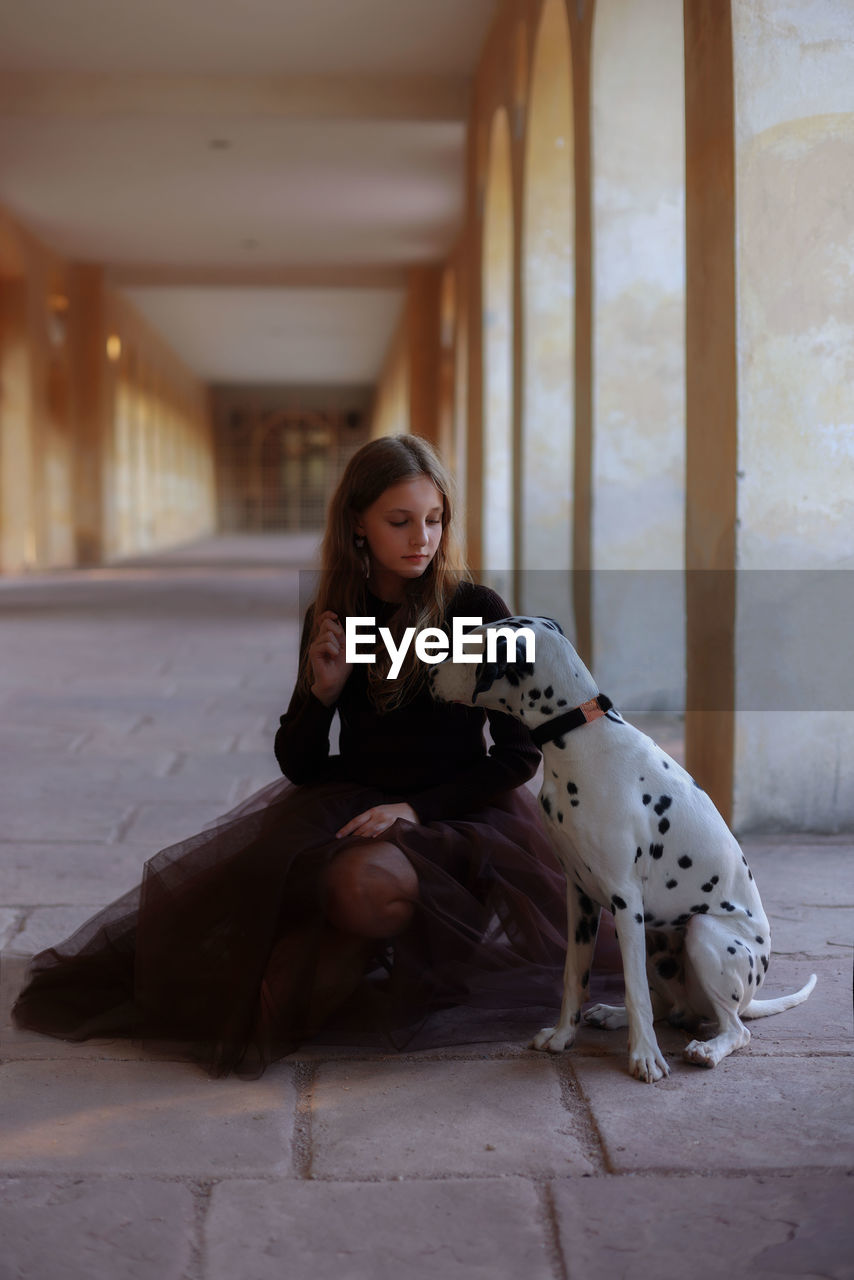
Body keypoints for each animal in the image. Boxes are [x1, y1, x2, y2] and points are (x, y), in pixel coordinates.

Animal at [430, 619, 819, 1080]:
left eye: (467, 646)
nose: (428, 674)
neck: (578, 736)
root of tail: (750, 997)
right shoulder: (580, 896)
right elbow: (574, 976)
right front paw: (563, 1036)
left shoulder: (624, 898)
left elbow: (636, 993)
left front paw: (645, 1056)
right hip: (653, 940)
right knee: (673, 1008)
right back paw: (613, 1015)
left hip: (701, 932)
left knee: (734, 1029)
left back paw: (707, 1049)